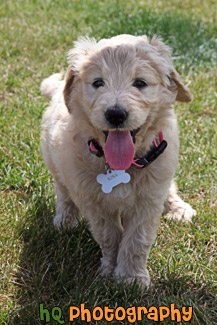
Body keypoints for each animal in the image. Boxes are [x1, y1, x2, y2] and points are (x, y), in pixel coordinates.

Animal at [39, 33, 196, 286]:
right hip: (55, 163)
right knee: (63, 191)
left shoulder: (148, 199)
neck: (123, 165)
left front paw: (131, 278)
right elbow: (109, 235)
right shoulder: (92, 200)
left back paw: (177, 207)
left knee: (169, 187)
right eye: (98, 83)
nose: (115, 114)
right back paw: (65, 220)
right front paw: (111, 269)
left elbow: (137, 239)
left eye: (140, 83)